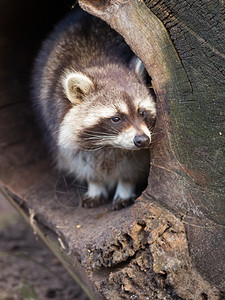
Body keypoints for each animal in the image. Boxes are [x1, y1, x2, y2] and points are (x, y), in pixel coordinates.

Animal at [32, 7, 156, 209]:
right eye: (116, 118)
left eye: (141, 112)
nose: (142, 140)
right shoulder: (58, 124)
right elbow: (79, 160)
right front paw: (95, 184)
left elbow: (134, 164)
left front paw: (125, 185)